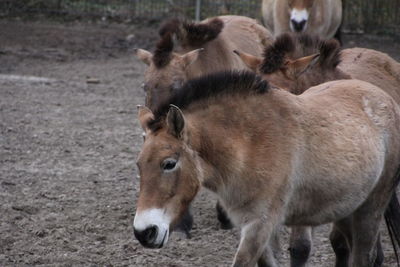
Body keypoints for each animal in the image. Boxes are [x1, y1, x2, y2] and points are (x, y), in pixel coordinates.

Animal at [133, 71, 400, 267]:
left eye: (169, 164)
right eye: (139, 165)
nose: (144, 233)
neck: (250, 143)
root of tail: (387, 100)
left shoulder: (259, 225)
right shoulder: (250, 226)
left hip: (370, 210)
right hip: (346, 209)